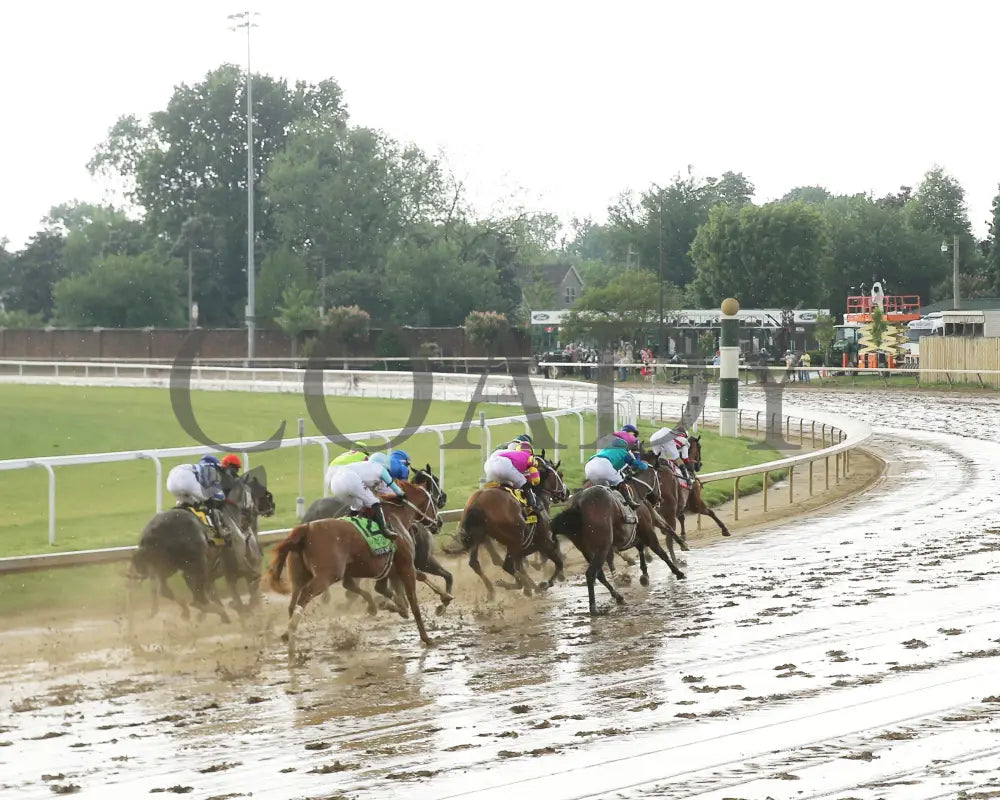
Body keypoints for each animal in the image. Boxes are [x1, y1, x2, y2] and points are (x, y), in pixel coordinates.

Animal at [131, 472, 278, 620]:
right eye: (263, 490)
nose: (272, 504)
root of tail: (150, 534)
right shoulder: (236, 564)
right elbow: (251, 582)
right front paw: (243, 608)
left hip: (165, 565)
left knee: (165, 589)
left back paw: (189, 611)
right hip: (196, 563)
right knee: (196, 598)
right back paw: (215, 611)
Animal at [270, 478, 450, 652]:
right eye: (434, 501)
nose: (440, 522)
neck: (396, 517)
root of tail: (306, 529)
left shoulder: (386, 568)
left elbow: (386, 590)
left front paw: (394, 606)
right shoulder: (405, 566)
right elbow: (414, 602)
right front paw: (426, 637)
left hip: (299, 576)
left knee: (292, 603)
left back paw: (288, 634)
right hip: (327, 575)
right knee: (305, 595)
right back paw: (292, 639)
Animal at [556, 484, 688, 616]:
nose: (660, 499)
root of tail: (578, 504)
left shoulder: (636, 534)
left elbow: (642, 547)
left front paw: (645, 575)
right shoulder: (648, 530)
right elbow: (661, 551)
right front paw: (678, 572)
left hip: (588, 551)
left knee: (599, 575)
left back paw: (618, 597)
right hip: (602, 548)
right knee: (591, 573)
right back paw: (594, 607)